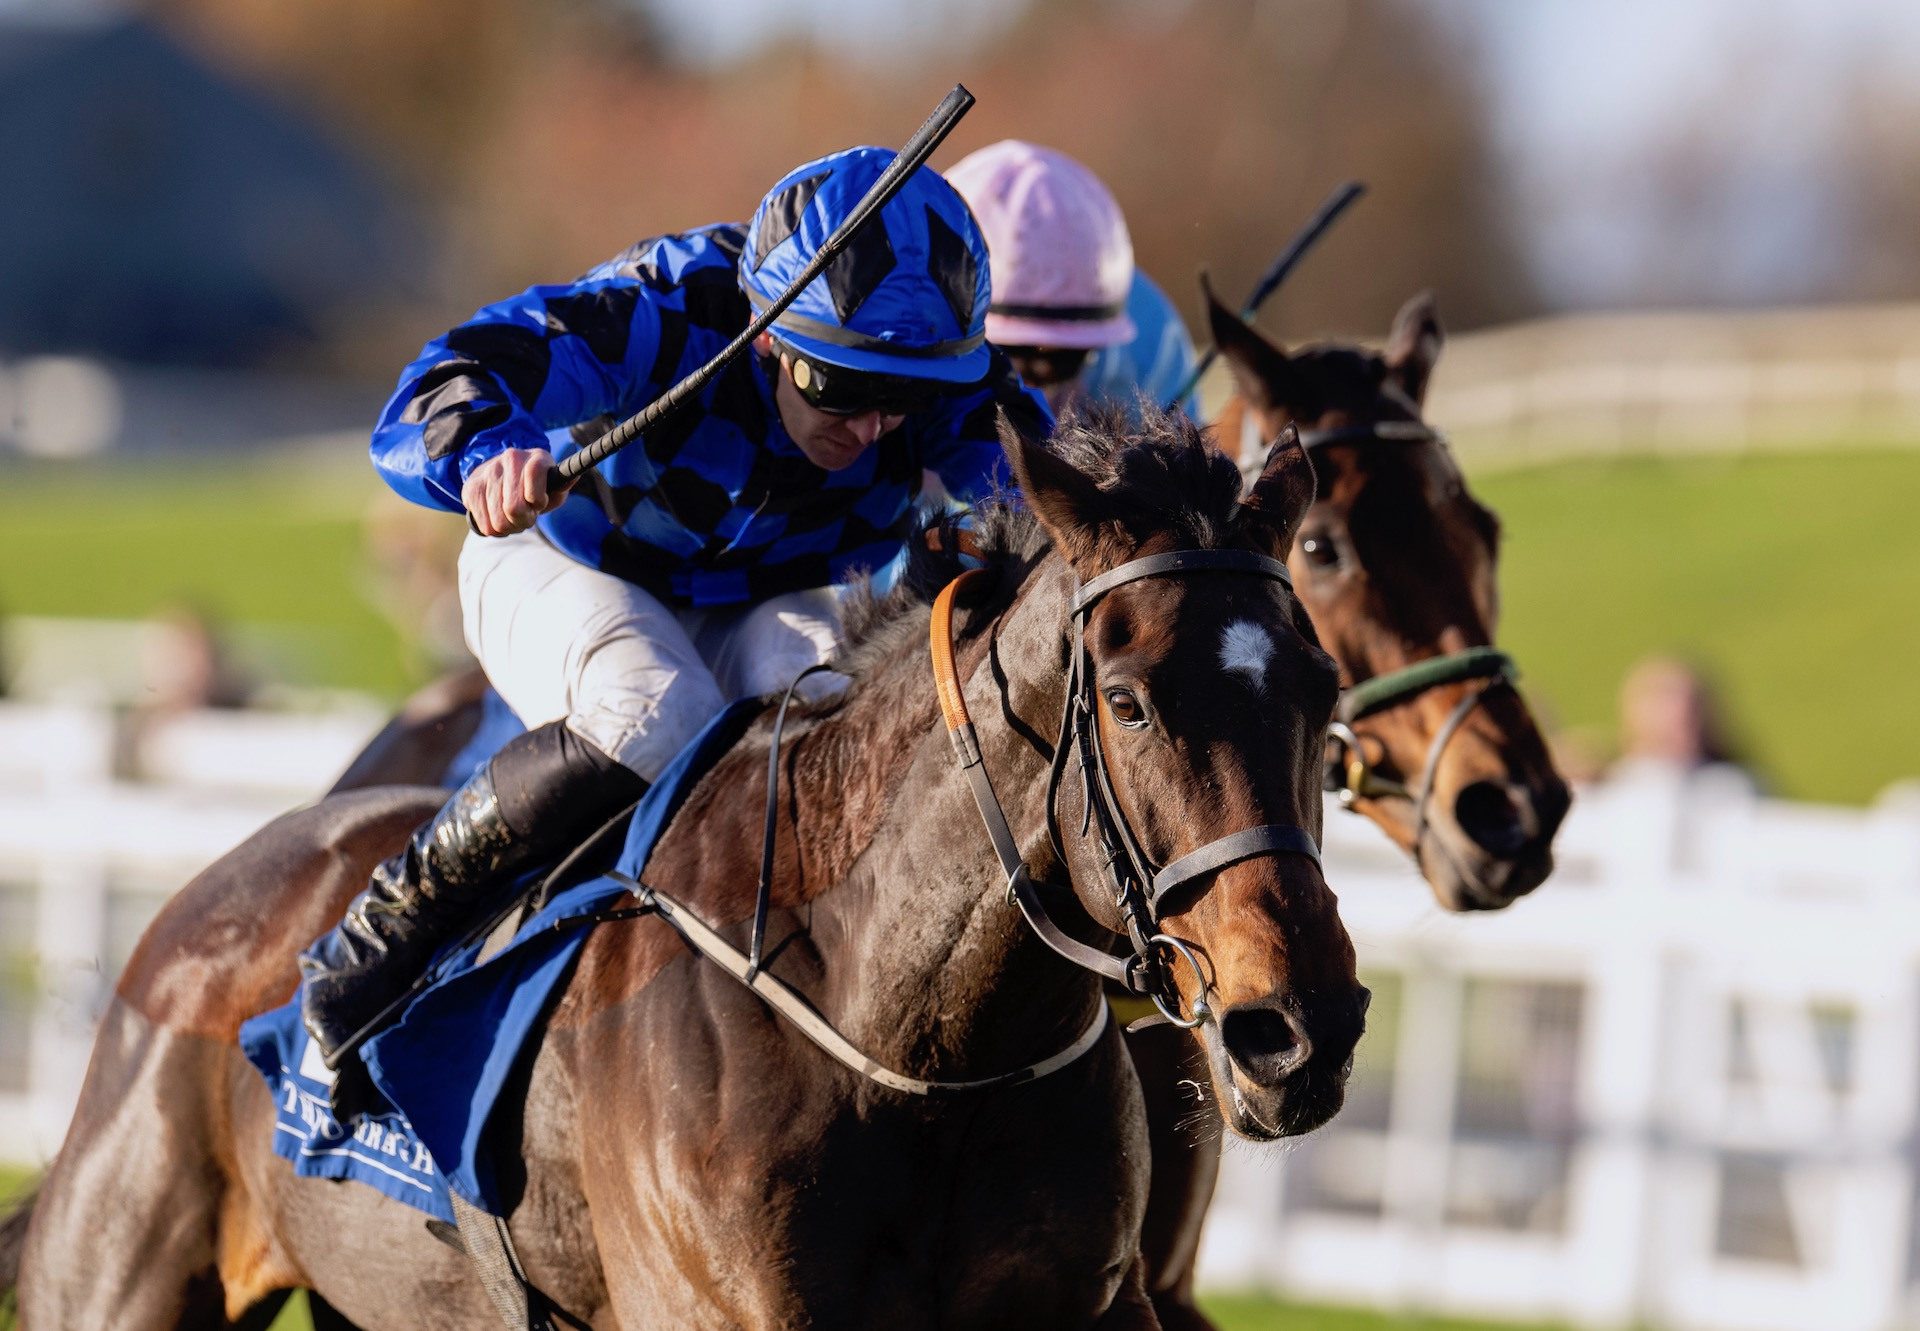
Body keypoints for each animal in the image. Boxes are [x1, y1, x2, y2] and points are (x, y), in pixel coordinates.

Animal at [11, 411, 1367, 1321]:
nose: (1298, 1026)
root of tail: (198, 904)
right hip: (123, 1274)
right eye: (1130, 701)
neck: (915, 1041)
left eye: (1322, 690)